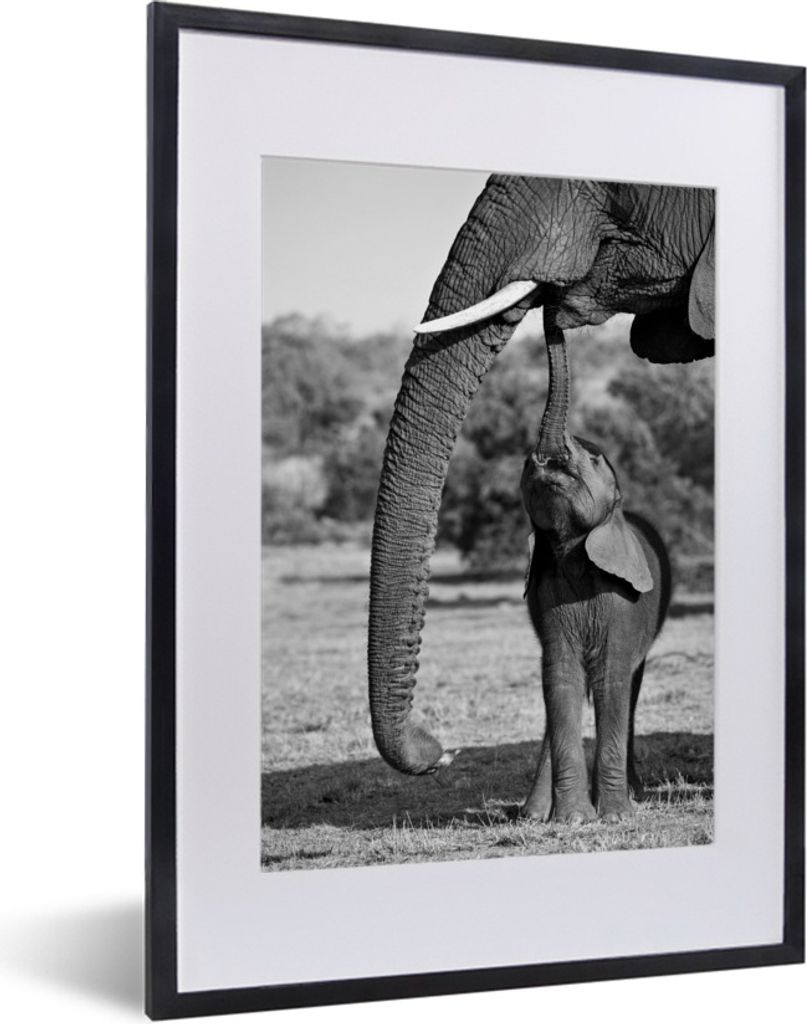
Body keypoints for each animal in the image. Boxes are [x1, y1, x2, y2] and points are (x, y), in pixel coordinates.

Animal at [519, 317, 671, 822]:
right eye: (525, 464)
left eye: (593, 460)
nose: (547, 456)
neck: (572, 550)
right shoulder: (547, 592)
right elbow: (561, 676)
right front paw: (572, 819)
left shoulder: (624, 602)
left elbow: (610, 678)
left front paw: (616, 815)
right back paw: (532, 813)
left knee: (630, 685)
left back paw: (633, 795)